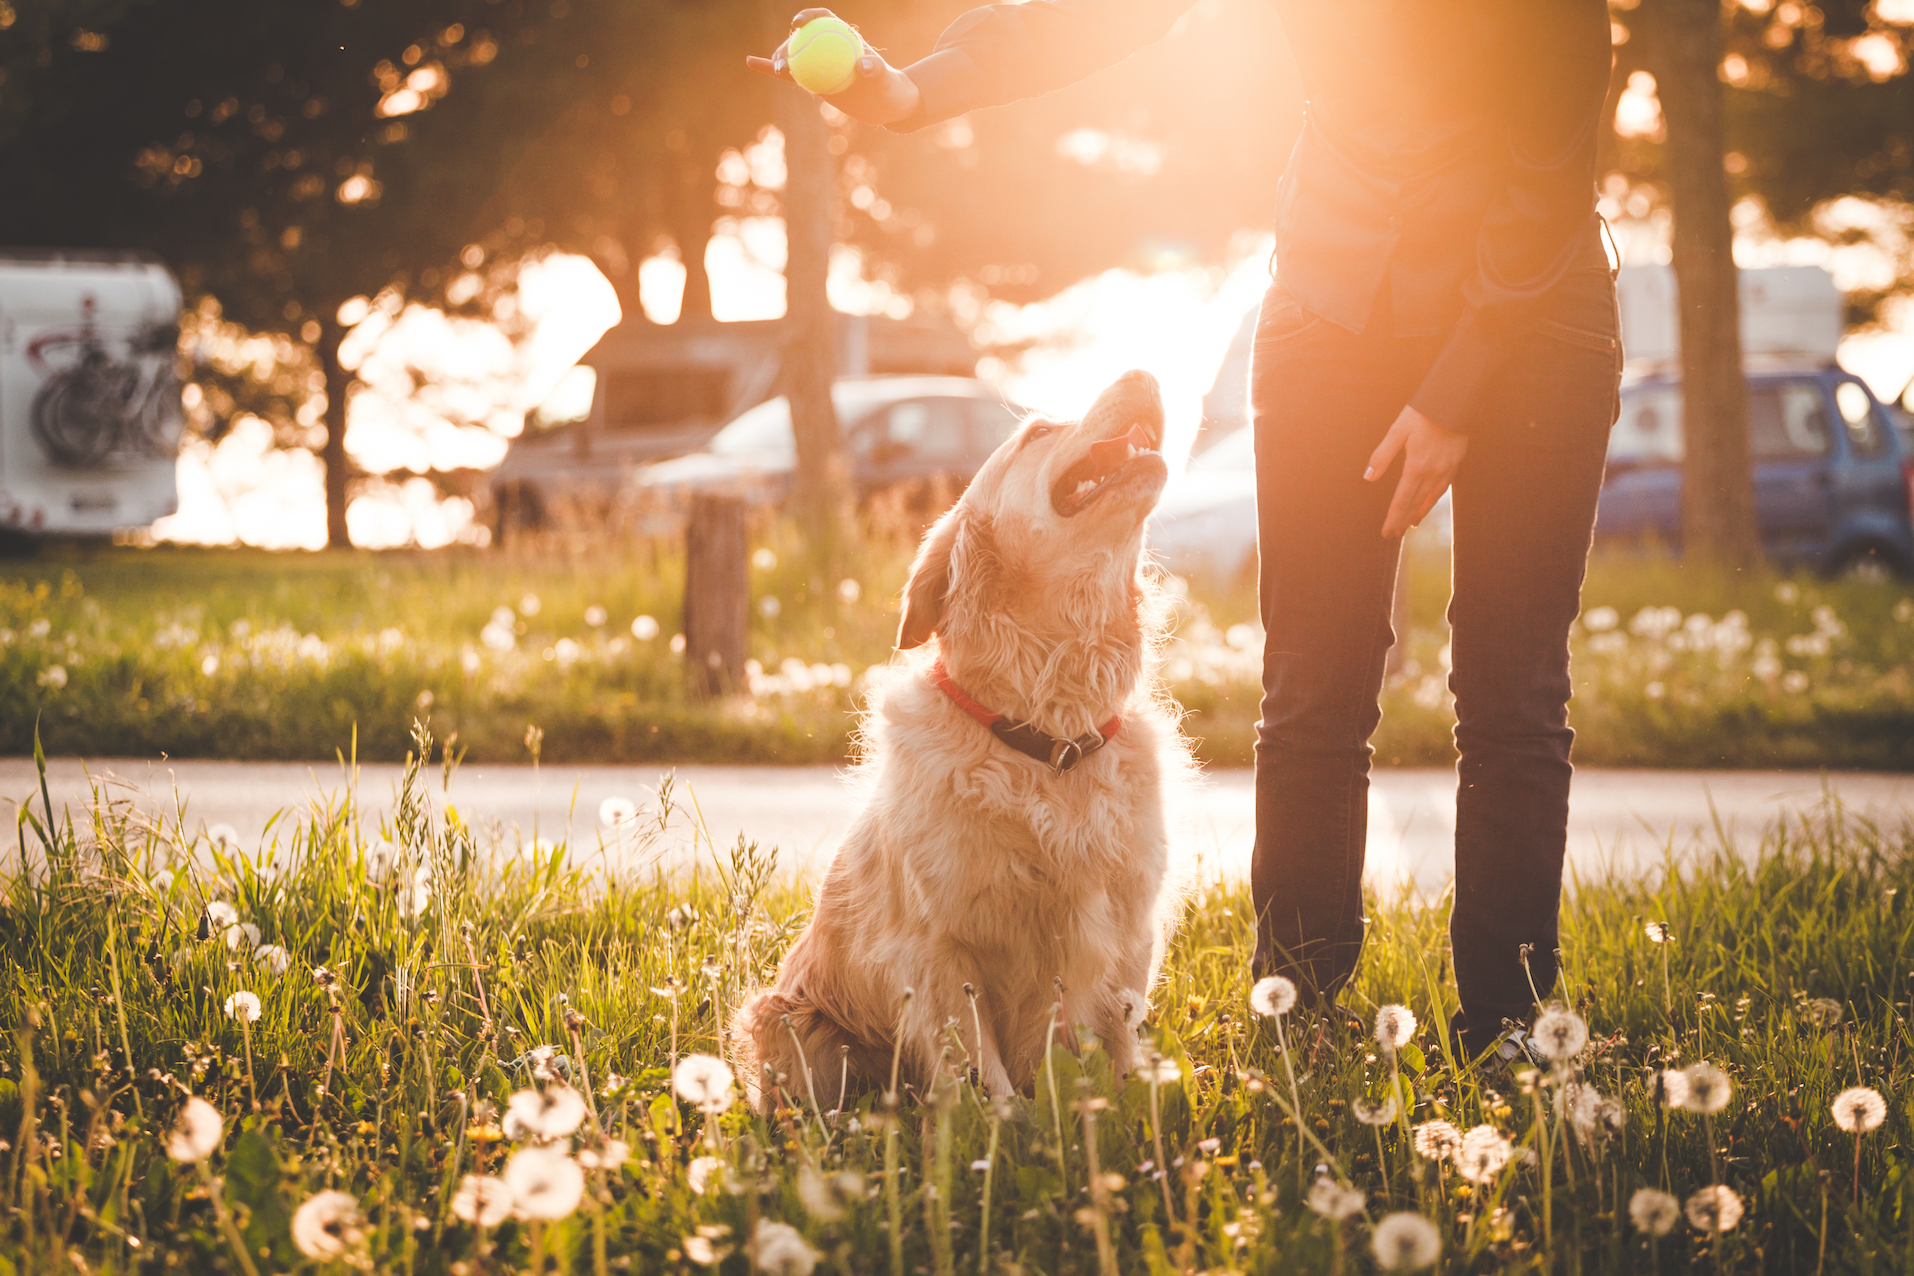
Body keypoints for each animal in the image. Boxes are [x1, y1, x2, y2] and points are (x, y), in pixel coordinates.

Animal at [738, 369, 1186, 1109]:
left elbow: (1121, 1053)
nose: (1144, 374)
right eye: (1037, 433)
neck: (1050, 736)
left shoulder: (1127, 934)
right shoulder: (938, 950)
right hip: (788, 1021)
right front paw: (1003, 1132)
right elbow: (984, 1079)